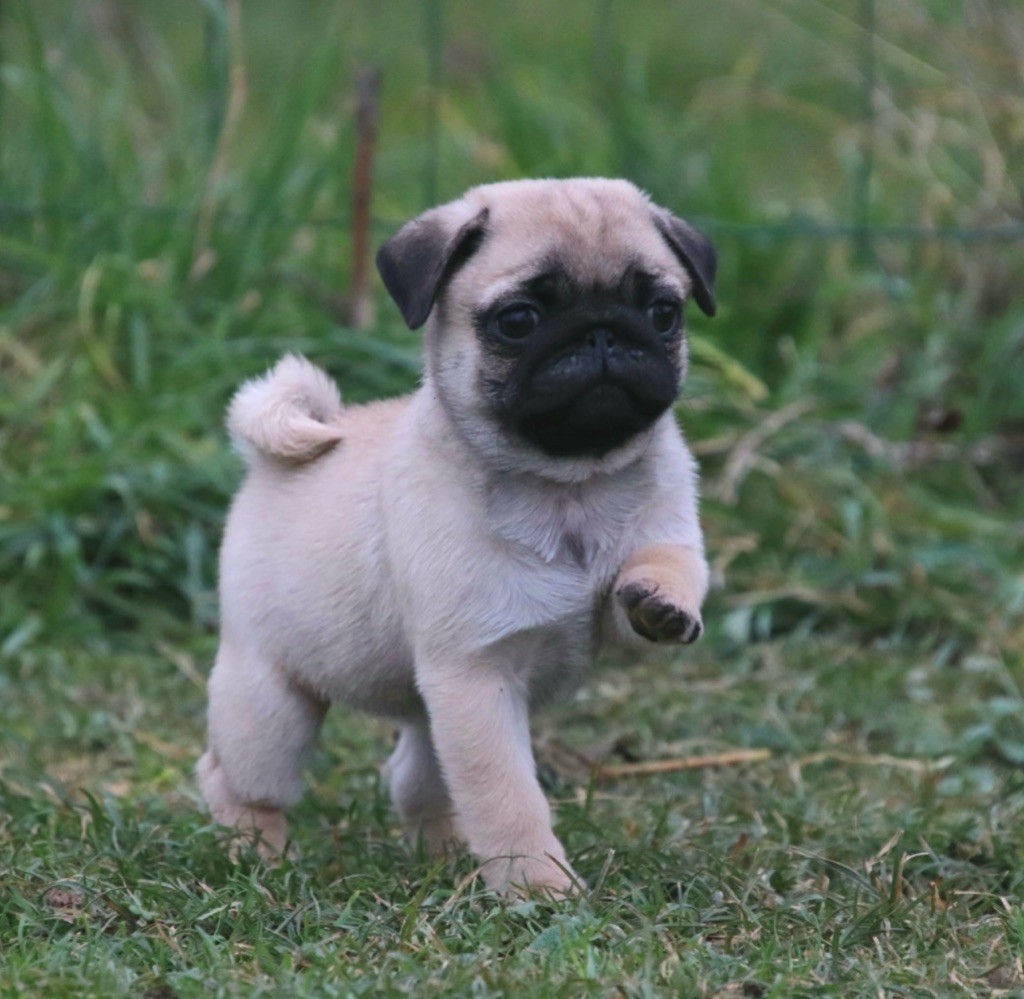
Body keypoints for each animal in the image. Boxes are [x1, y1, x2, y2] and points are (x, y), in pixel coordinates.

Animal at [195, 177, 716, 896]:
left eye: (664, 312)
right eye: (518, 320)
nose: (603, 333)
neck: (569, 483)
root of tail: (267, 461)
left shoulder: (658, 535)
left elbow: (669, 561)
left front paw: (661, 601)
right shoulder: (478, 678)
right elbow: (506, 795)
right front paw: (538, 887)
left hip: (424, 706)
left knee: (415, 781)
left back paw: (442, 854)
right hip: (270, 696)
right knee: (235, 774)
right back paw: (256, 851)